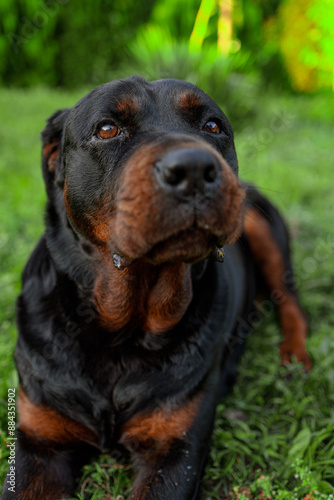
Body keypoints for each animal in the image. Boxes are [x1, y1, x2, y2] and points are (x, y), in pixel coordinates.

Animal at [1, 76, 310, 498]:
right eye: (107, 128)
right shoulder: (39, 441)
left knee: (292, 302)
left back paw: (295, 356)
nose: (194, 167)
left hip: (260, 220)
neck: (121, 333)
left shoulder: (176, 449)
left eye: (212, 126)